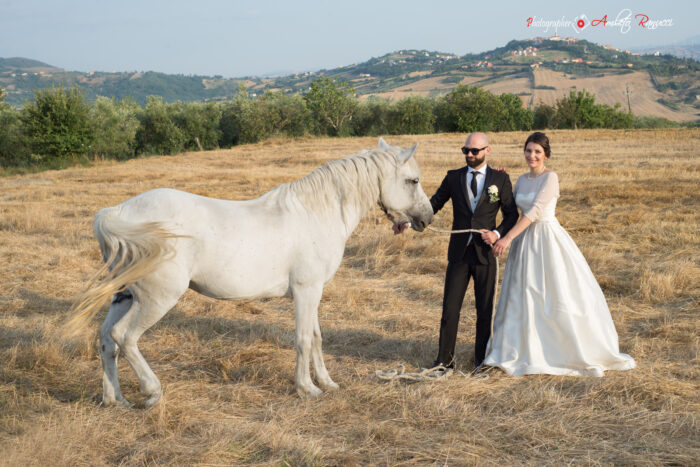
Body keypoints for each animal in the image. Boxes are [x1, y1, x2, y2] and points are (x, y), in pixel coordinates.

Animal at [65, 138, 434, 407]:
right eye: (412, 180)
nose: (427, 218)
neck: (316, 212)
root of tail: (117, 212)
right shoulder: (305, 291)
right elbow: (302, 339)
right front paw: (307, 388)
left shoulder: (313, 292)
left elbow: (316, 337)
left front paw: (327, 383)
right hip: (156, 299)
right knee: (124, 337)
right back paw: (152, 391)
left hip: (125, 295)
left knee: (105, 339)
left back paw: (115, 399)